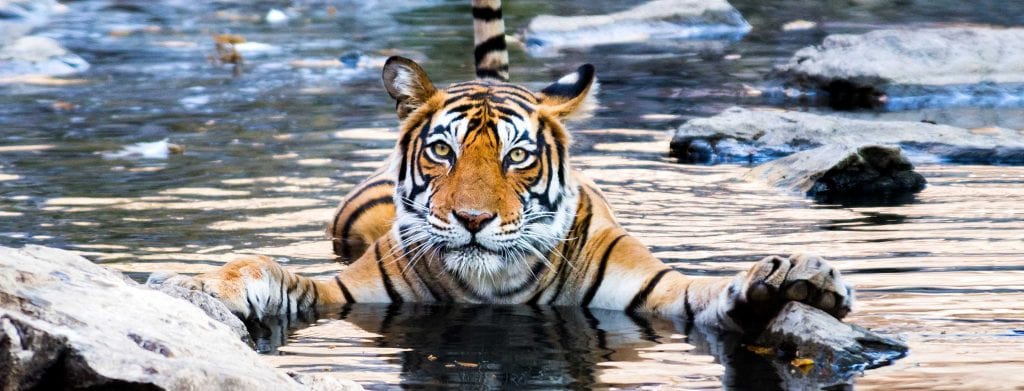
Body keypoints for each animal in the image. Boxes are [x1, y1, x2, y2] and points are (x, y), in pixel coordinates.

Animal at [163, 0, 851, 333]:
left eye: (517, 156)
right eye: (442, 151)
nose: (472, 220)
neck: (494, 285)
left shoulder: (659, 292)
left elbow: (711, 292)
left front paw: (791, 280)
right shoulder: (346, 293)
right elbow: (268, 269)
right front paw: (201, 286)